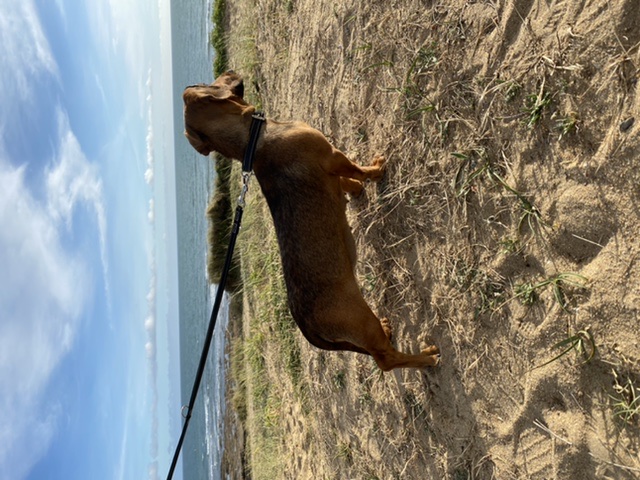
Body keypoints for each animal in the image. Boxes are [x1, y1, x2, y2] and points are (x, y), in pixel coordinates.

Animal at [183, 70, 440, 371]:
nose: (229, 71)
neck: (254, 143)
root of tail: (306, 327)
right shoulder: (333, 156)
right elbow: (358, 170)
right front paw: (375, 171)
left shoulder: (331, 169)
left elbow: (347, 182)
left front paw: (355, 190)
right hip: (361, 319)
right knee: (385, 359)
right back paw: (427, 357)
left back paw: (391, 331)